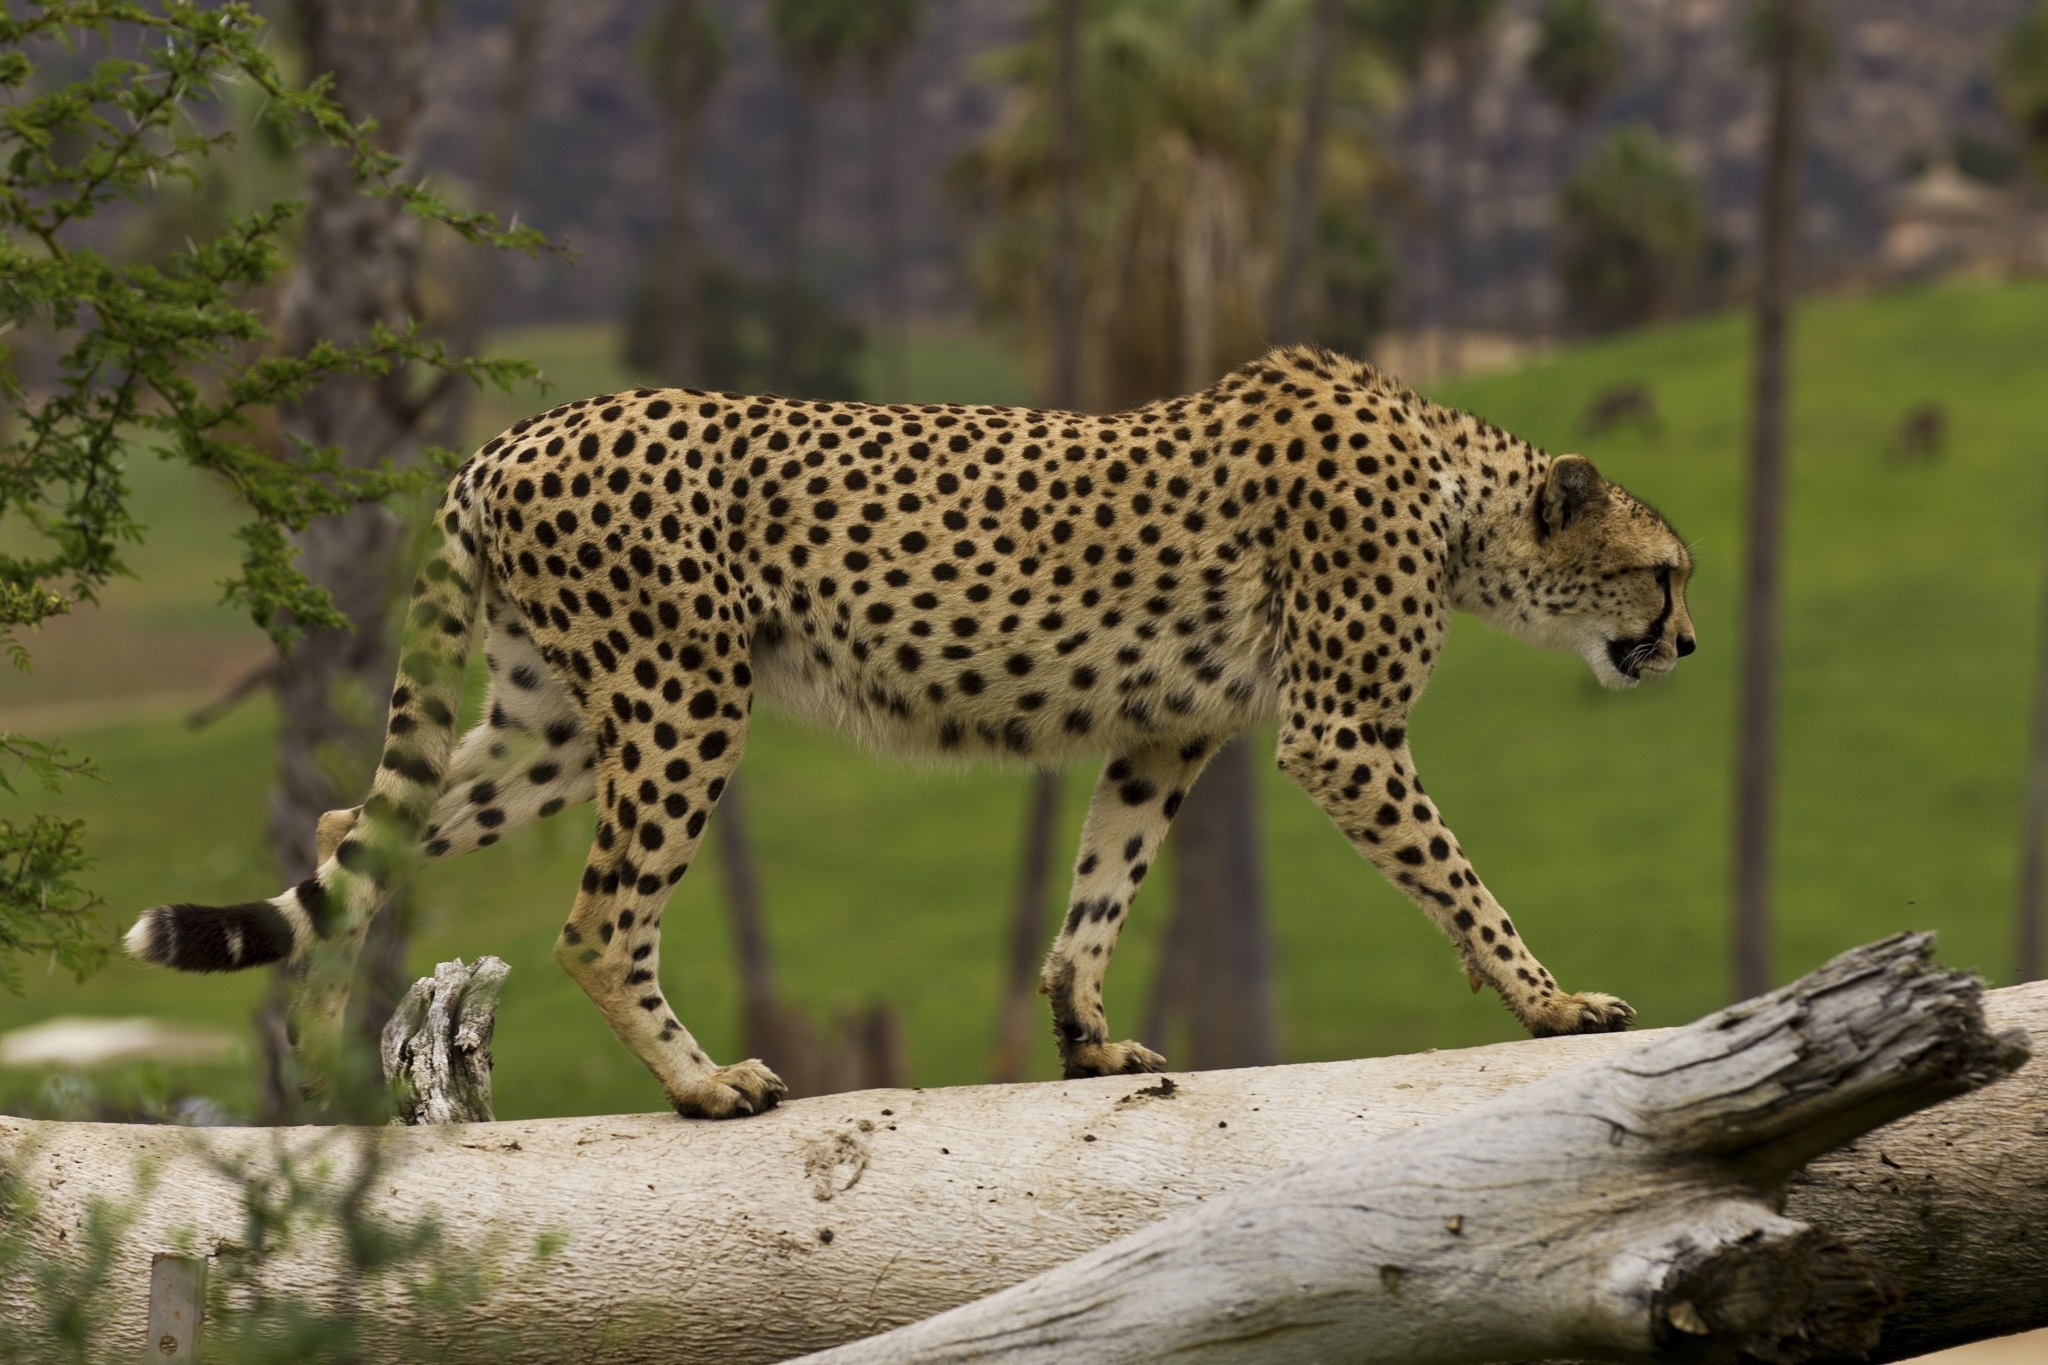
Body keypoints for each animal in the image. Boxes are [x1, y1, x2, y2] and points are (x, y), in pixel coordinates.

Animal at [123, 343, 1695, 1121]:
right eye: (1665, 571)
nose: (1685, 644)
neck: (1460, 497)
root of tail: (518, 435)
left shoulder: (1165, 734)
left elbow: (1098, 892)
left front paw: (1085, 1039)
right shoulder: (1342, 732)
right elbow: (1461, 882)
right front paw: (1552, 1000)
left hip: (559, 721)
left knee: (354, 826)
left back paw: (326, 1065)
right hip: (682, 697)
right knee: (593, 920)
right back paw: (703, 1084)